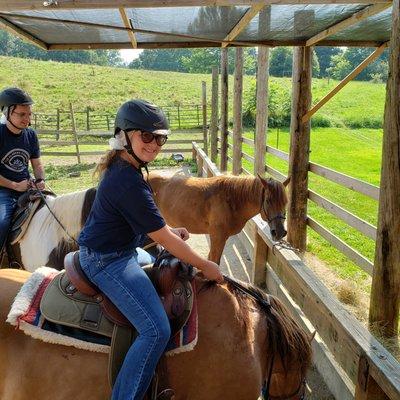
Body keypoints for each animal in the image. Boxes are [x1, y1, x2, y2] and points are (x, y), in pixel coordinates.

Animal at [148, 174, 290, 262]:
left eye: (286, 202)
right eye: (268, 201)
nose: (280, 232)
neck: (231, 199)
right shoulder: (217, 237)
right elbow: (214, 261)